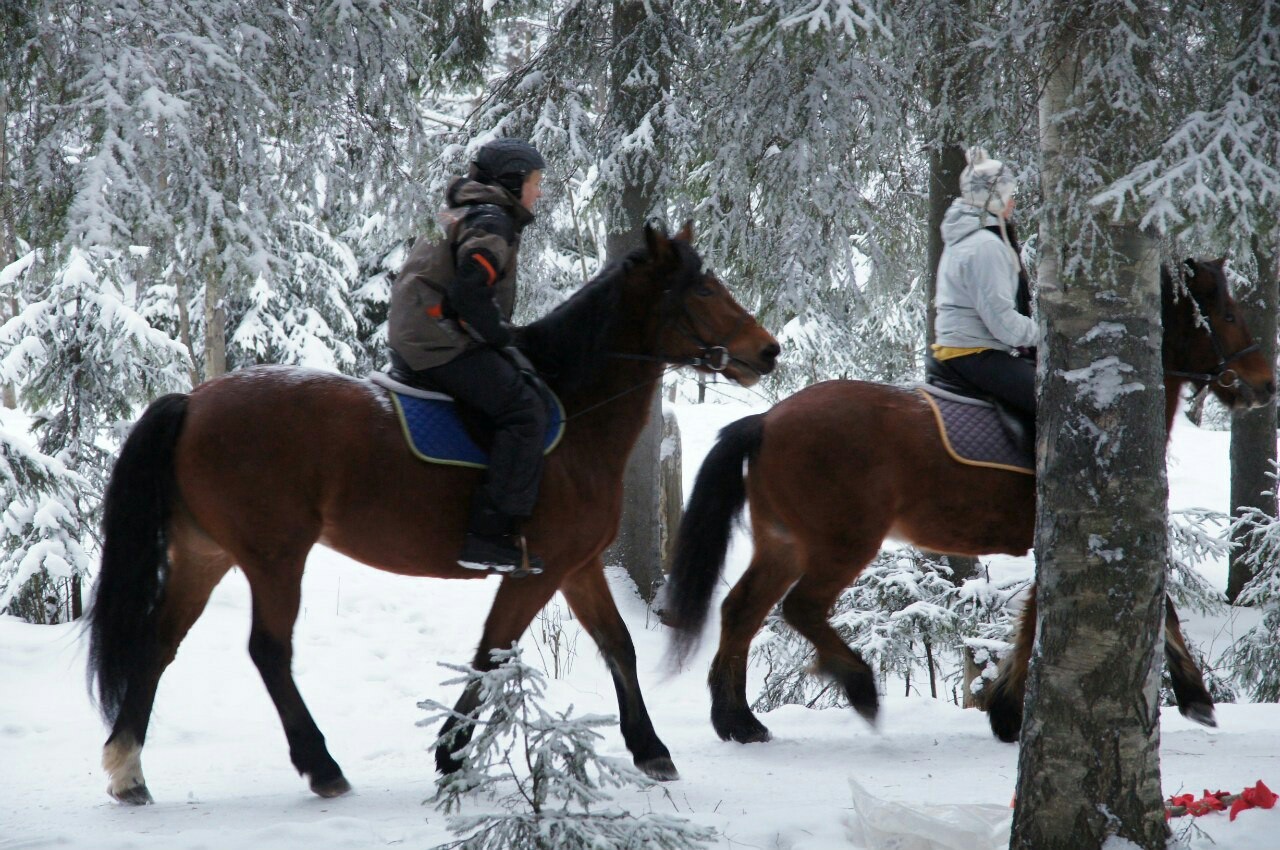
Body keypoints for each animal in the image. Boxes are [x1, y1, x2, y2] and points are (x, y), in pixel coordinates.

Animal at [85, 220, 778, 803]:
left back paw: (127, 768)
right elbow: (492, 651)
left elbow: (618, 646)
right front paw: (451, 752)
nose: (768, 350)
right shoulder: (538, 570)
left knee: (158, 645)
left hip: (205, 554)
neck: (573, 409)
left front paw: (650, 748)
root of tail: (192, 402)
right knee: (269, 651)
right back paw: (321, 766)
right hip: (274, 556)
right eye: (704, 290)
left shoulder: (578, 569)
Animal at [665, 257, 1274, 742]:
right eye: (1227, 315)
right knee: (800, 608)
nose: (1265, 383)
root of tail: (767, 420)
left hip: (785, 543)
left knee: (741, 610)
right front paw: (1194, 698)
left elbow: (1037, 618)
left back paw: (739, 721)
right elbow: (1143, 607)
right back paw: (857, 685)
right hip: (842, 543)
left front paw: (1005, 709)